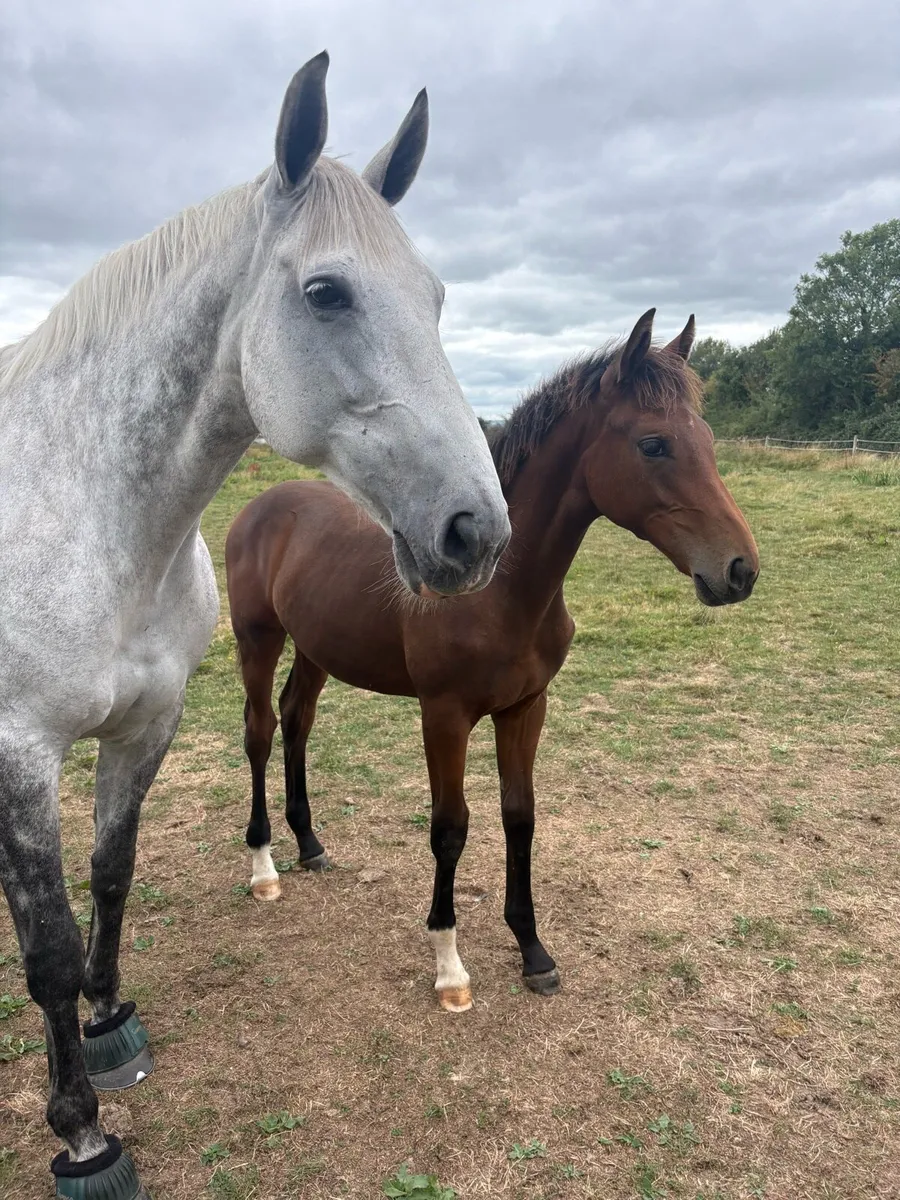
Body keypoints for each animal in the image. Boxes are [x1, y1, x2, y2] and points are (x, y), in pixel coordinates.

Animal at [0, 52, 510, 1198]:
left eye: (436, 297)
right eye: (326, 292)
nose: (478, 531)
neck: (93, 513)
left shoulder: (146, 725)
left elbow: (111, 873)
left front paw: (108, 1020)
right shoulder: (19, 750)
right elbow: (45, 942)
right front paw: (82, 1131)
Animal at [226, 309, 760, 1016]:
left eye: (705, 437)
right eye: (653, 444)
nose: (739, 569)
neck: (500, 594)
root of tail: (263, 506)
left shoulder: (525, 709)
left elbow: (519, 817)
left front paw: (533, 950)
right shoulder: (444, 716)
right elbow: (450, 829)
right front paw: (450, 966)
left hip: (316, 648)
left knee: (296, 720)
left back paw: (309, 844)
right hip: (257, 638)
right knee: (260, 731)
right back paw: (264, 868)